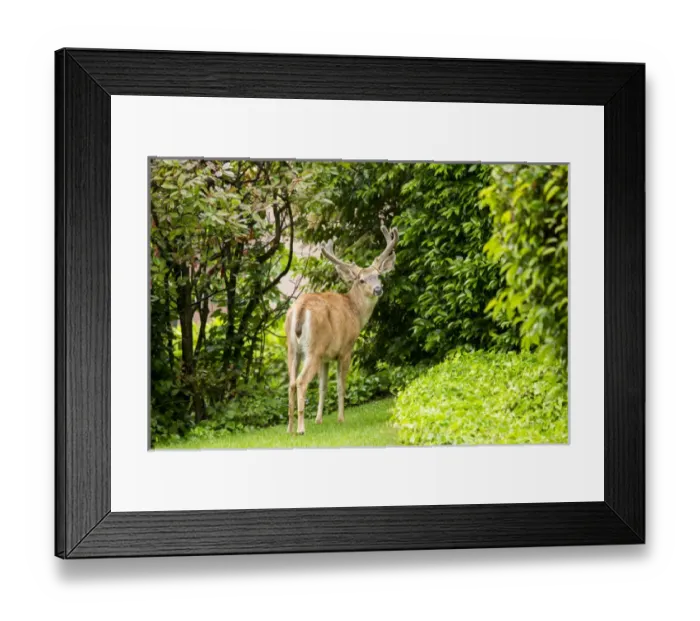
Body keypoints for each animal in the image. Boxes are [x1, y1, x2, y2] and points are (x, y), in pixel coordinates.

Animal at [285, 224, 399, 435]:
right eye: (361, 280)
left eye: (378, 275)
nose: (378, 289)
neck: (355, 310)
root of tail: (300, 308)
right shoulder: (345, 349)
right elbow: (340, 385)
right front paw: (340, 419)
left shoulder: (325, 357)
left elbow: (323, 387)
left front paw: (319, 420)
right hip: (313, 348)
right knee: (301, 381)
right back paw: (301, 429)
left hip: (293, 349)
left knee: (291, 383)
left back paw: (289, 429)